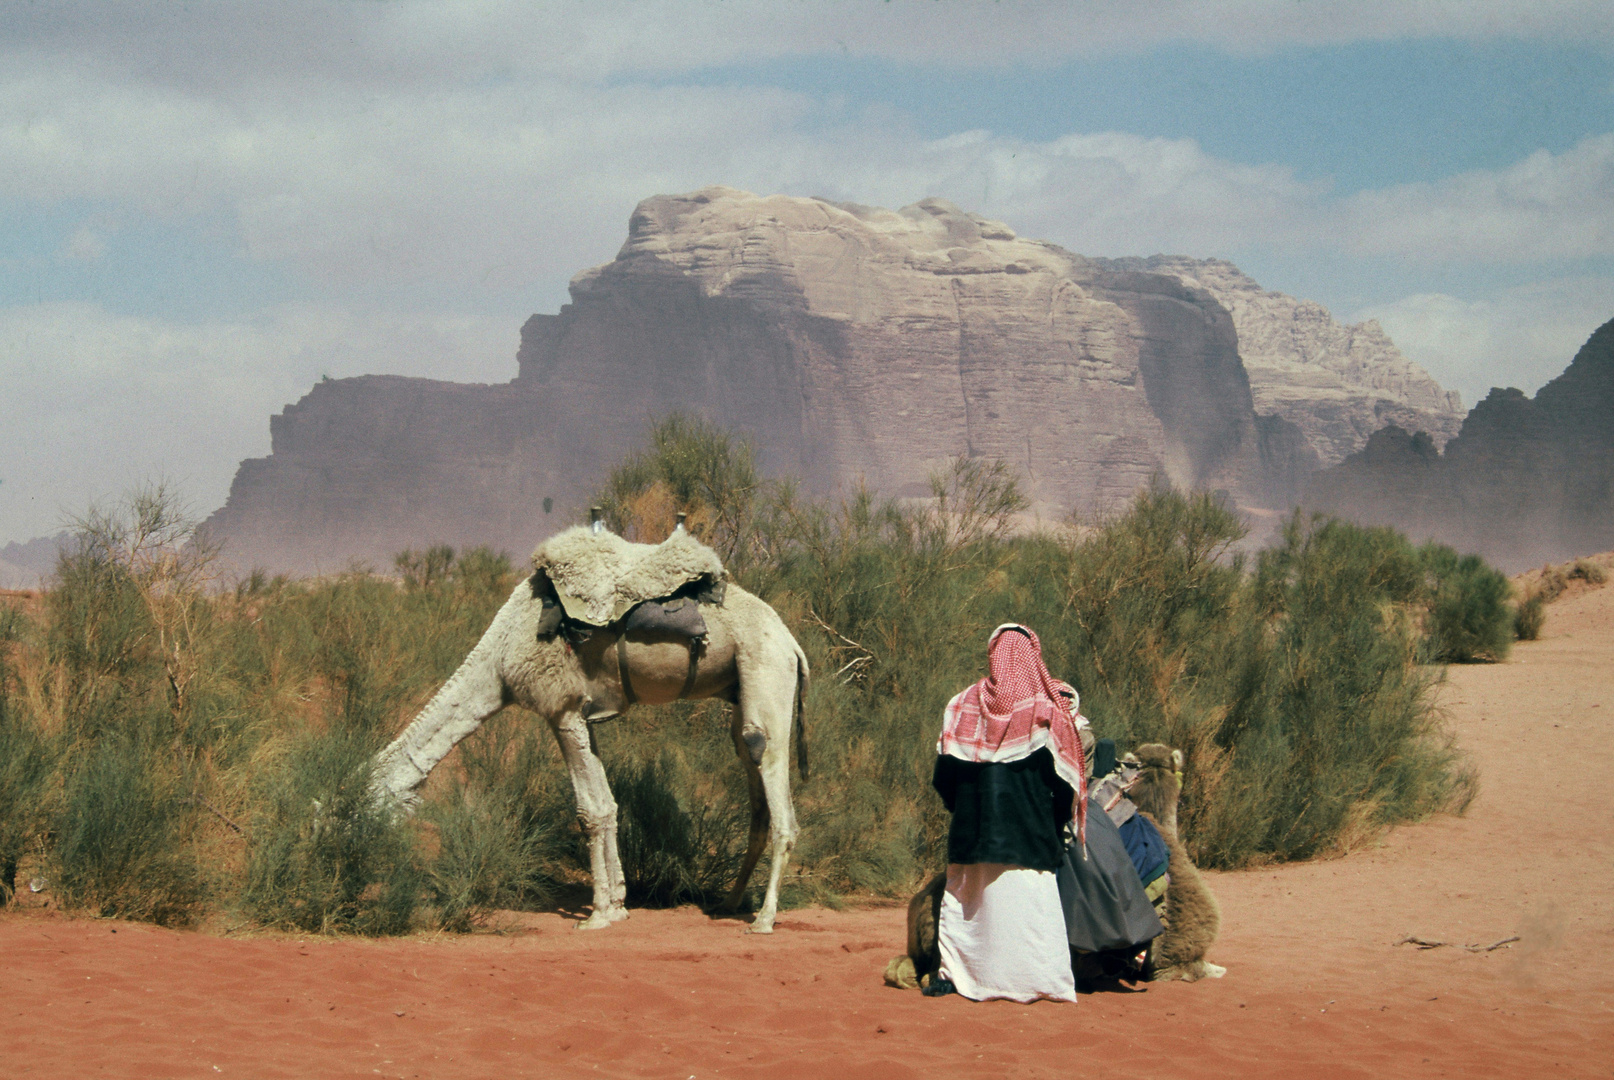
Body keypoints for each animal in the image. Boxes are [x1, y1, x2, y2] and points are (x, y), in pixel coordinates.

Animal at [372, 526, 813, 929]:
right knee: (754, 787)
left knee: (774, 783)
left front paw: (598, 914)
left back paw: (764, 919)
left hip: (767, 671)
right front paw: (617, 903)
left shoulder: (561, 709)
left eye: (364, 803)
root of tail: (794, 644)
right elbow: (608, 805)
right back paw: (728, 904)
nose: (364, 850)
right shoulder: (585, 715)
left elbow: (589, 811)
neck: (499, 663)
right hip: (742, 691)